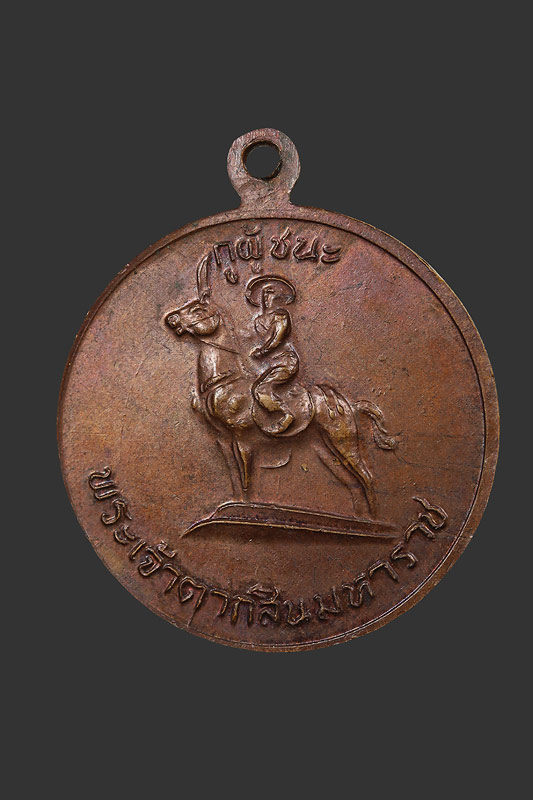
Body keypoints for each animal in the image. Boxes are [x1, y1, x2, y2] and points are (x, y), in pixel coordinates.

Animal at [164, 284, 397, 518]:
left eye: (197, 310)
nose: (172, 319)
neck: (225, 382)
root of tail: (350, 405)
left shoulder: (242, 439)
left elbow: (246, 478)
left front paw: (246, 508)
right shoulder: (221, 440)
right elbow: (234, 476)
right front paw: (229, 506)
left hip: (342, 440)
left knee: (366, 477)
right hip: (324, 447)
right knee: (352, 483)